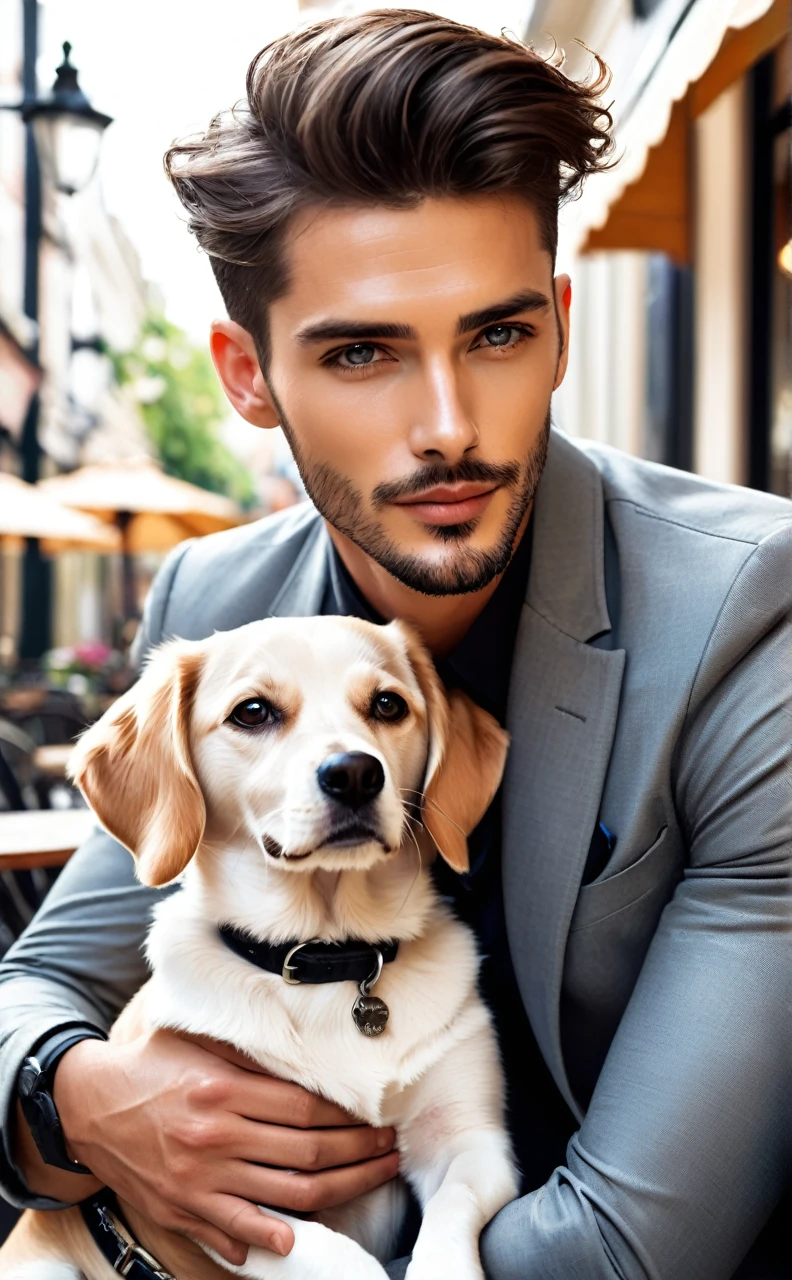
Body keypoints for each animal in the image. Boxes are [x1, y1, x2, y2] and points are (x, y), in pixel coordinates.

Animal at [4, 614, 519, 1274]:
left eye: (388, 704)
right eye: (252, 712)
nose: (354, 772)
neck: (330, 960)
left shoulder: (471, 1144)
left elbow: (448, 1228)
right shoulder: (225, 1196)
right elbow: (341, 1260)